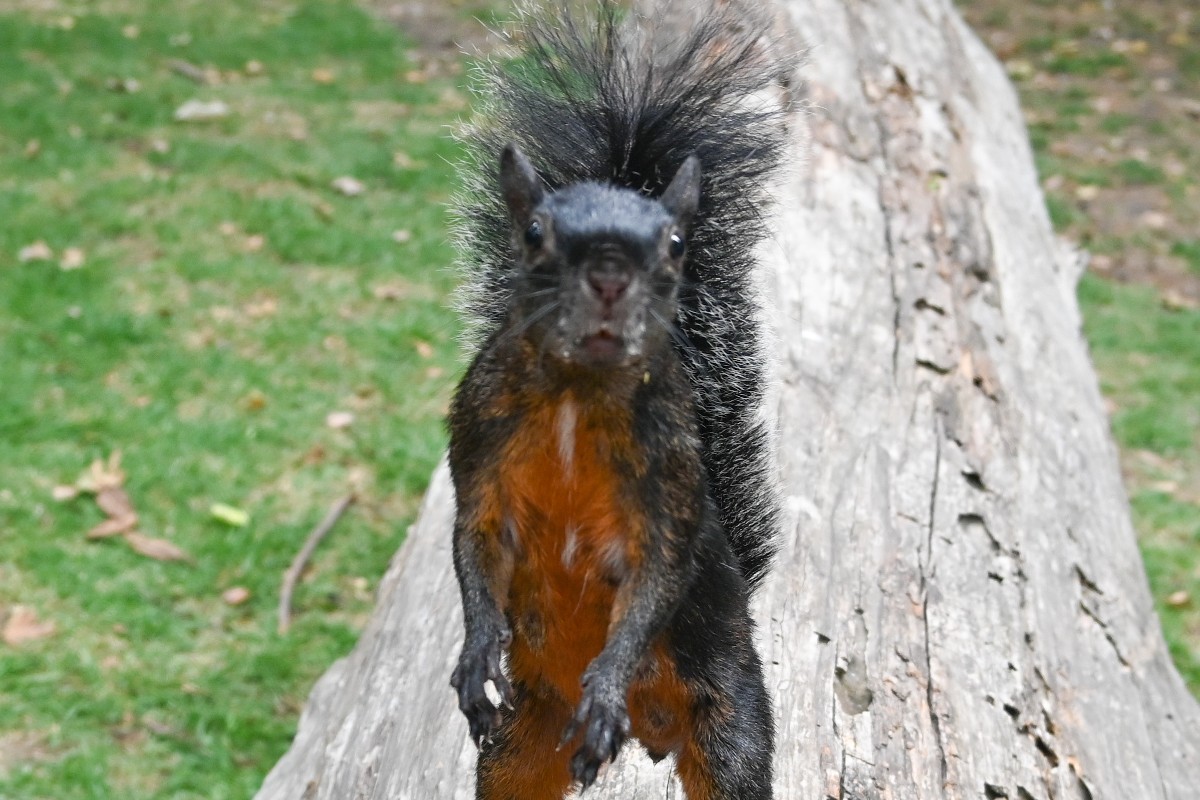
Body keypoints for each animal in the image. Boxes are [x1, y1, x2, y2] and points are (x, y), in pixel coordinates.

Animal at [446, 3, 792, 796]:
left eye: (676, 244)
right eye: (533, 234)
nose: (609, 277)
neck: (581, 394)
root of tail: (653, 735)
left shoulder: (667, 495)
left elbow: (655, 578)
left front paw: (606, 680)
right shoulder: (477, 454)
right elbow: (473, 546)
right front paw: (476, 654)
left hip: (729, 722)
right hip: (519, 742)